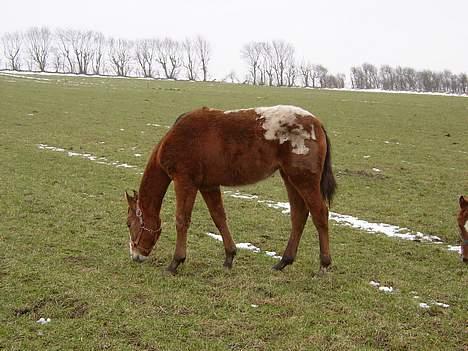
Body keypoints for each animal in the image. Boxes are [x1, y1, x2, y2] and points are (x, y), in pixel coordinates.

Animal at [124, 104, 336, 276]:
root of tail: (317, 123)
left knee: (319, 214)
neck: (178, 137)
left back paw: (323, 265)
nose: (135, 256)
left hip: (304, 180)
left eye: (128, 223)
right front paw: (229, 257)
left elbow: (182, 220)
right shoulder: (208, 185)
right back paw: (283, 262)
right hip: (290, 178)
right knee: (298, 216)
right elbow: (219, 217)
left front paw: (175, 263)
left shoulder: (184, 181)